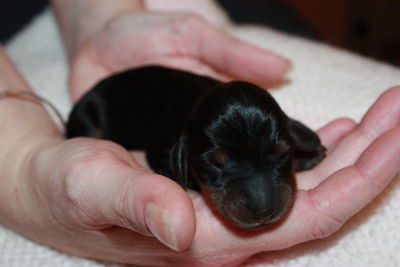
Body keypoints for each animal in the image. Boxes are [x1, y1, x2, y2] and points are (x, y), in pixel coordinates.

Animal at [68, 65, 324, 230]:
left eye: (283, 152)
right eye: (215, 163)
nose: (264, 212)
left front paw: (307, 154)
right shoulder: (160, 151)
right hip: (86, 119)